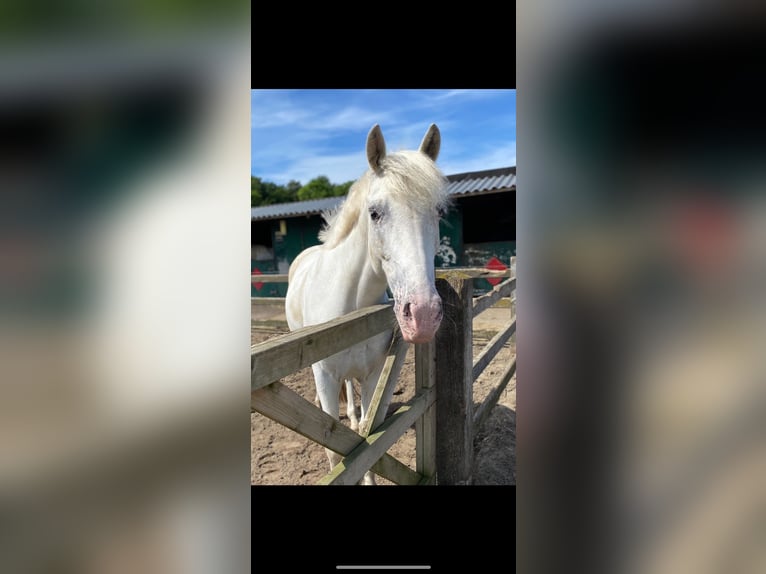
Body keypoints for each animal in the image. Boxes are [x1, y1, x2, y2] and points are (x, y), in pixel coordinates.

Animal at [286, 122, 450, 486]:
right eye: (374, 213)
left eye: (438, 211)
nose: (422, 315)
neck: (350, 304)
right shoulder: (326, 377)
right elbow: (336, 452)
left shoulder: (375, 373)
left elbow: (366, 439)